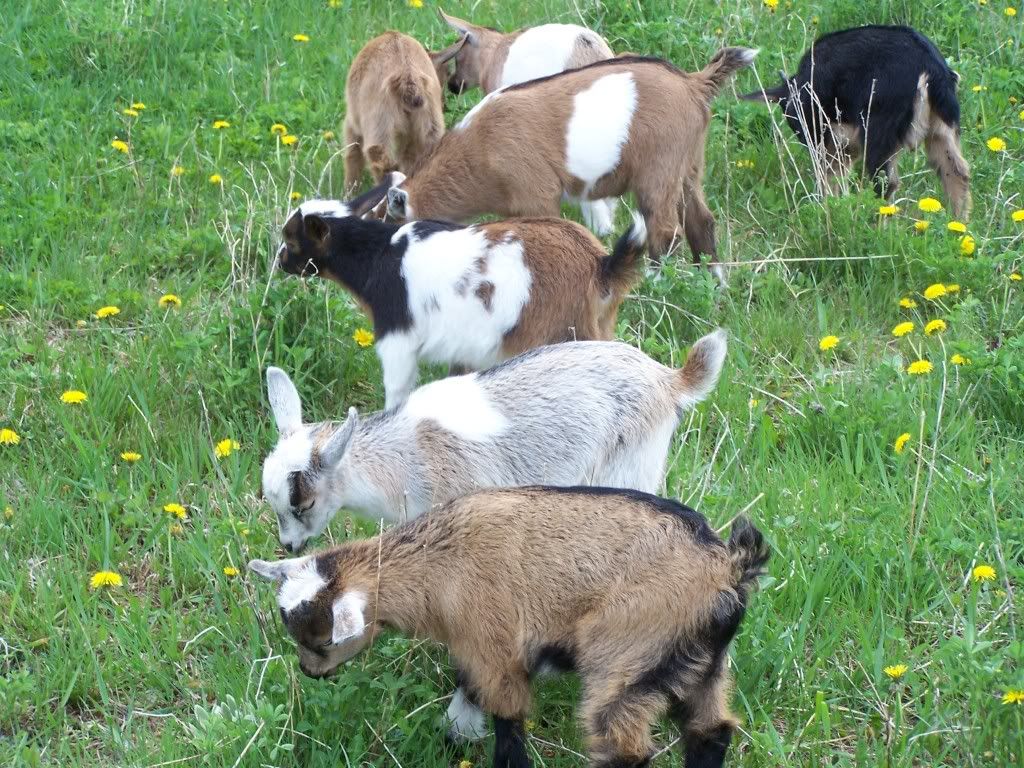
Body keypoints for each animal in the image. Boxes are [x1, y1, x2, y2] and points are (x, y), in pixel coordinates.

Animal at [250, 486, 769, 767]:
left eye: (320, 641)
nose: (310, 672)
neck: (440, 562)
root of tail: (729, 567)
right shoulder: (474, 652)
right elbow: (466, 699)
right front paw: (454, 738)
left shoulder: (495, 648)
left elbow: (507, 726)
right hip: (700, 664)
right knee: (711, 731)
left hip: (629, 655)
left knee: (624, 746)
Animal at [278, 191, 646, 409]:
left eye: (291, 240)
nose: (280, 262)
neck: (378, 255)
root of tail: (600, 264)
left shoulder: (397, 338)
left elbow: (397, 391)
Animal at [343, 31, 451, 192]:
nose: (444, 104)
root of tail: (408, 75)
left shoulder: (352, 122)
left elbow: (352, 153)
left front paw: (349, 192)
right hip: (430, 126)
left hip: (379, 124)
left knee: (381, 160)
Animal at [387, 50, 759, 285]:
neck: (478, 146)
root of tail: (693, 84)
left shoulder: (536, 194)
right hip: (689, 163)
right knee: (701, 221)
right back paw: (715, 286)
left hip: (659, 168)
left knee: (666, 230)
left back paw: (652, 288)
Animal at [741, 25, 970, 217]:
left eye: (794, 120)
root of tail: (931, 71)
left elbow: (828, 173)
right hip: (942, 127)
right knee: (957, 172)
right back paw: (958, 227)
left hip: (879, 130)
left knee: (885, 183)